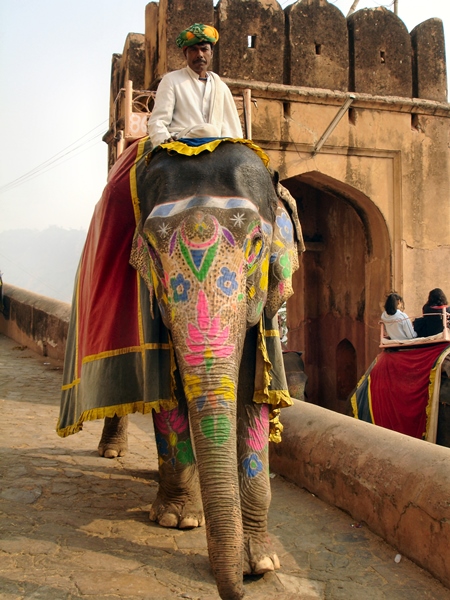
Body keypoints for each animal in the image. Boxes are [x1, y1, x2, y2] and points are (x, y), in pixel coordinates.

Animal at [56, 137, 302, 600]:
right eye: (153, 250)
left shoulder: (262, 315)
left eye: (256, 244)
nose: (238, 589)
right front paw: (178, 519)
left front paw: (260, 562)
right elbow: (167, 392)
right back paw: (114, 452)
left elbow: (256, 396)